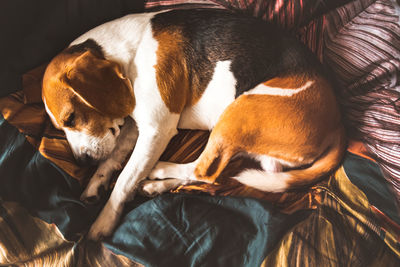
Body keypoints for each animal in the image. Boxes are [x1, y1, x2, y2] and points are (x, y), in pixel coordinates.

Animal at [41, 9, 346, 241]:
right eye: (60, 128)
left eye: (71, 118)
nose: (81, 161)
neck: (127, 53)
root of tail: (337, 124)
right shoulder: (135, 128)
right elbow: (113, 159)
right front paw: (96, 183)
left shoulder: (156, 129)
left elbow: (125, 178)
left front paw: (103, 220)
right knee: (217, 176)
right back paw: (156, 185)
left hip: (237, 112)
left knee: (205, 171)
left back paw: (160, 170)